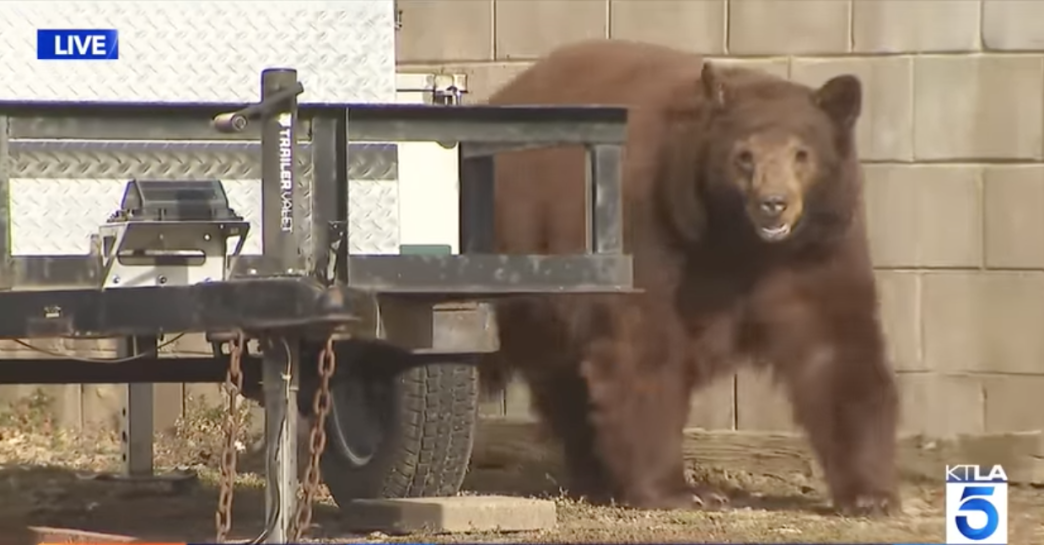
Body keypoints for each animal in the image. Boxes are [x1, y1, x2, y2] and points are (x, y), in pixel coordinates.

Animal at [480, 39, 900, 517]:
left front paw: (870, 493)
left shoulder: (816, 252)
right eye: (744, 156)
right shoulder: (649, 228)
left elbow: (835, 348)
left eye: (802, 154)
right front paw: (679, 490)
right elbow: (645, 347)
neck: (739, 242)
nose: (773, 204)